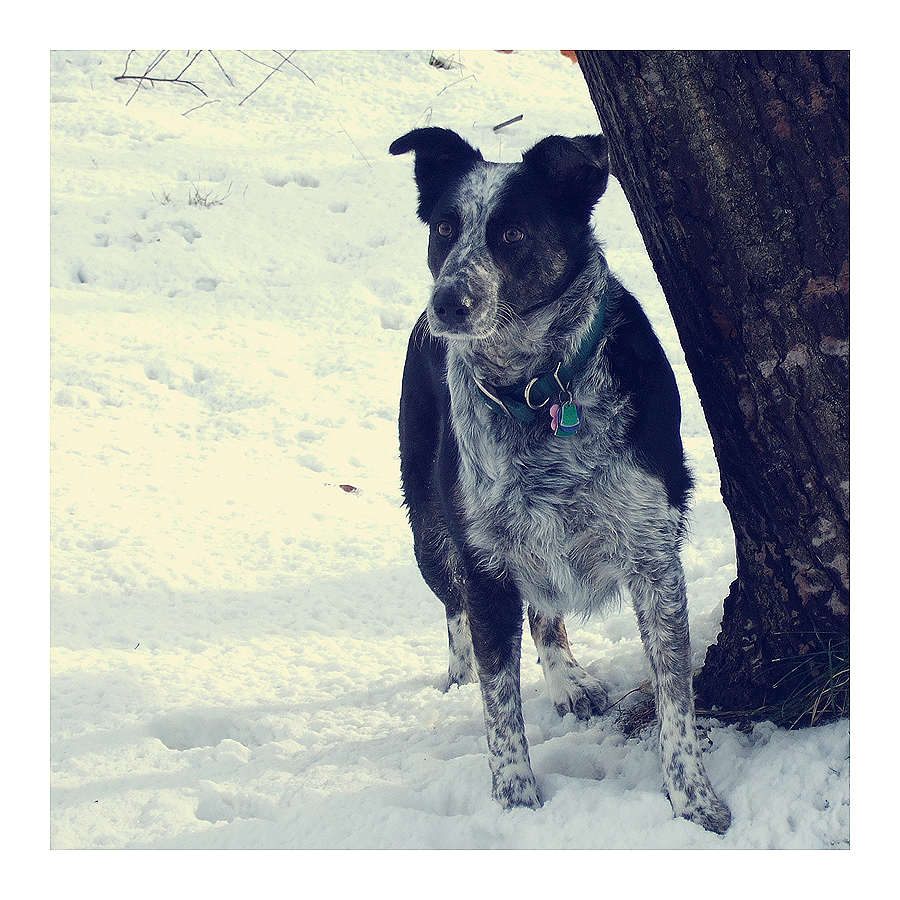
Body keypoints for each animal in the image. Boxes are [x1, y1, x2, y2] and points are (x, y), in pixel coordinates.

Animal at [392, 125, 732, 828]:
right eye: (444, 228)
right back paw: (461, 673)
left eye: (513, 232)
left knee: (544, 613)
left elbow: (675, 698)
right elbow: (499, 708)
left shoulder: (654, 554)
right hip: (430, 529)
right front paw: (516, 806)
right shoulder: (485, 563)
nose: (447, 304)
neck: (536, 387)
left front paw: (693, 799)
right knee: (455, 609)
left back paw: (567, 679)